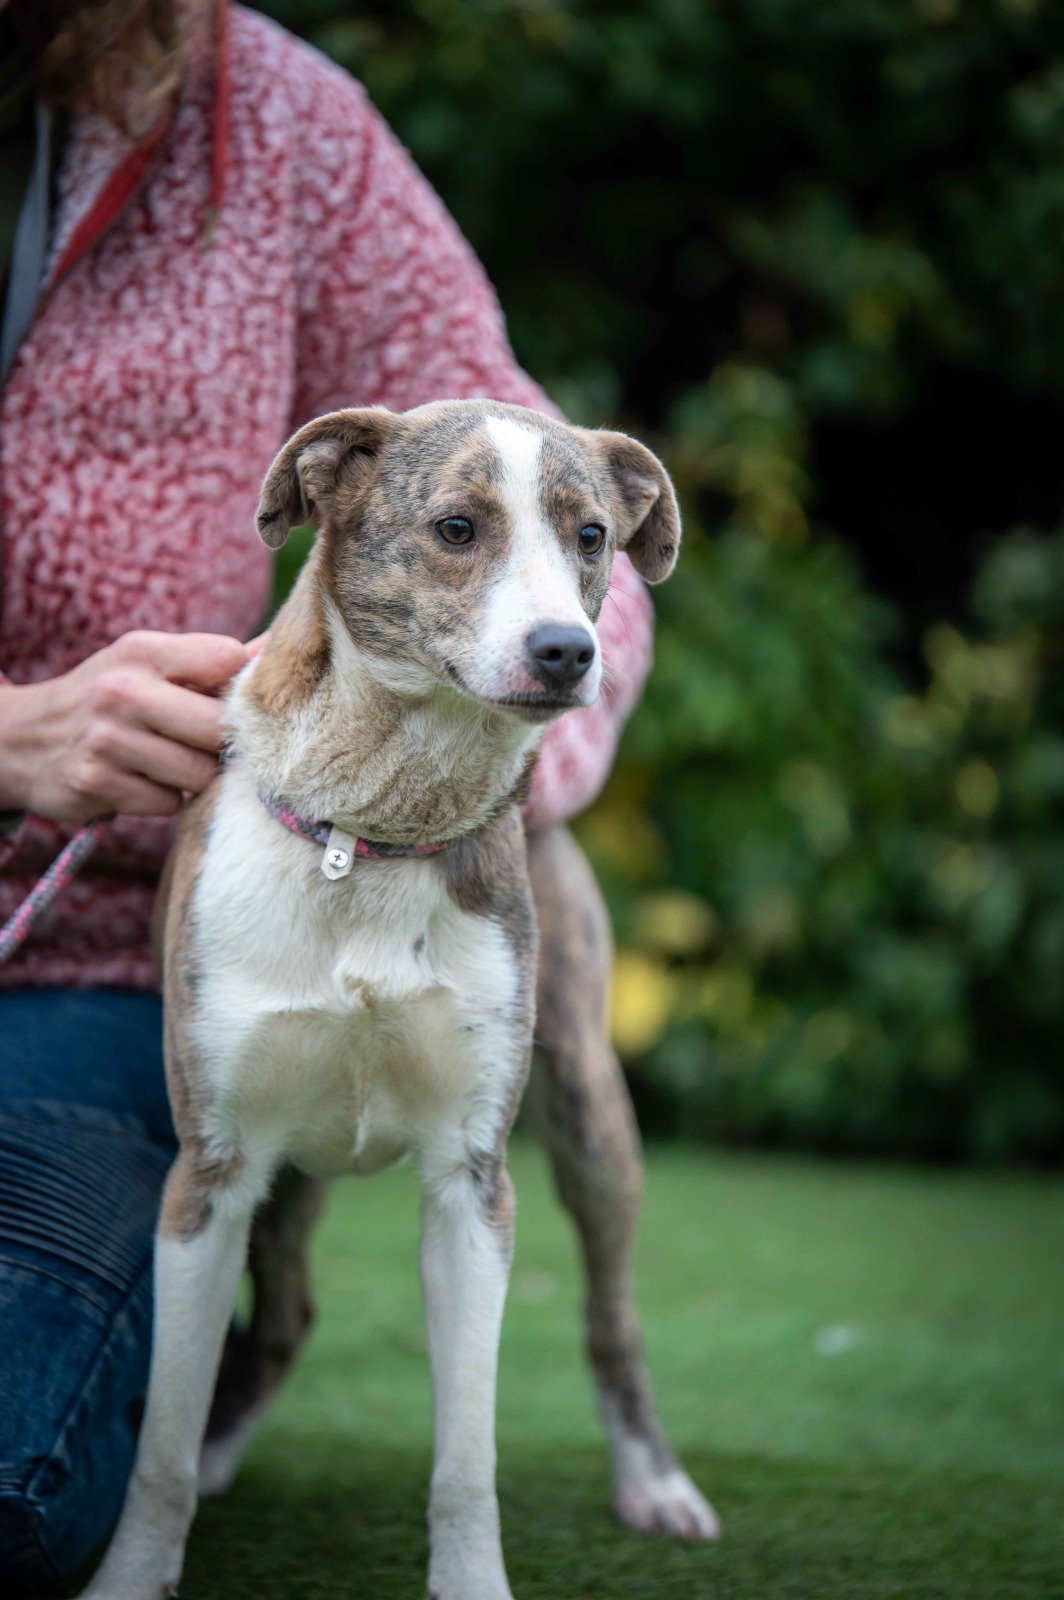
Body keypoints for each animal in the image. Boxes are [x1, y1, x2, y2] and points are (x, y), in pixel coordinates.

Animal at [80, 399, 718, 1600]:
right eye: (457, 527)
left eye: (593, 537)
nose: (569, 652)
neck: (370, 825)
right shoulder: (210, 1175)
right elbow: (156, 1449)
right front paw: (132, 1574)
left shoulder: (471, 1185)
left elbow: (465, 1457)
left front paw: (472, 1580)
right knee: (284, 1313)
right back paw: (225, 1452)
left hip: (590, 1118)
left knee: (612, 1316)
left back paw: (654, 1482)